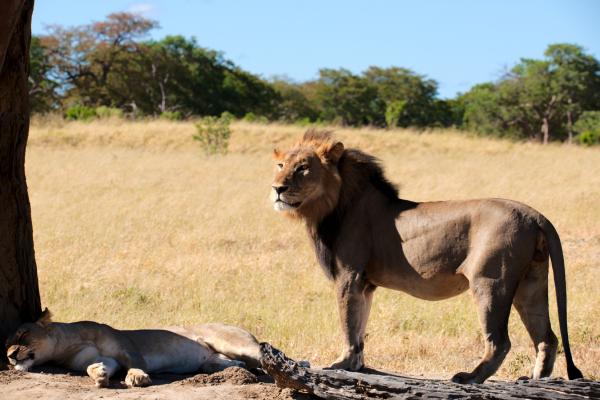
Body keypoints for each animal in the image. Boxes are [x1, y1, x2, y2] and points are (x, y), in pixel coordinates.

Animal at [4, 310, 262, 388]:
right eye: (5, 344)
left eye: (23, 334)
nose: (10, 356)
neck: (65, 347)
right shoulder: (107, 359)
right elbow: (92, 367)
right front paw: (99, 375)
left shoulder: (125, 346)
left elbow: (135, 363)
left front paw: (137, 377)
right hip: (211, 361)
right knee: (225, 362)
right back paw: (238, 369)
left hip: (234, 342)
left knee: (260, 351)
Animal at [270, 130, 580, 382]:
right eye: (281, 165)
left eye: (303, 168)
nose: (277, 189)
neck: (332, 206)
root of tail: (535, 215)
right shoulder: (366, 284)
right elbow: (360, 325)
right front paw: (356, 364)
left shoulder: (350, 276)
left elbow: (348, 322)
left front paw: (340, 364)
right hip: (531, 280)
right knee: (547, 337)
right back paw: (535, 379)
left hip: (491, 281)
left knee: (500, 341)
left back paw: (469, 378)